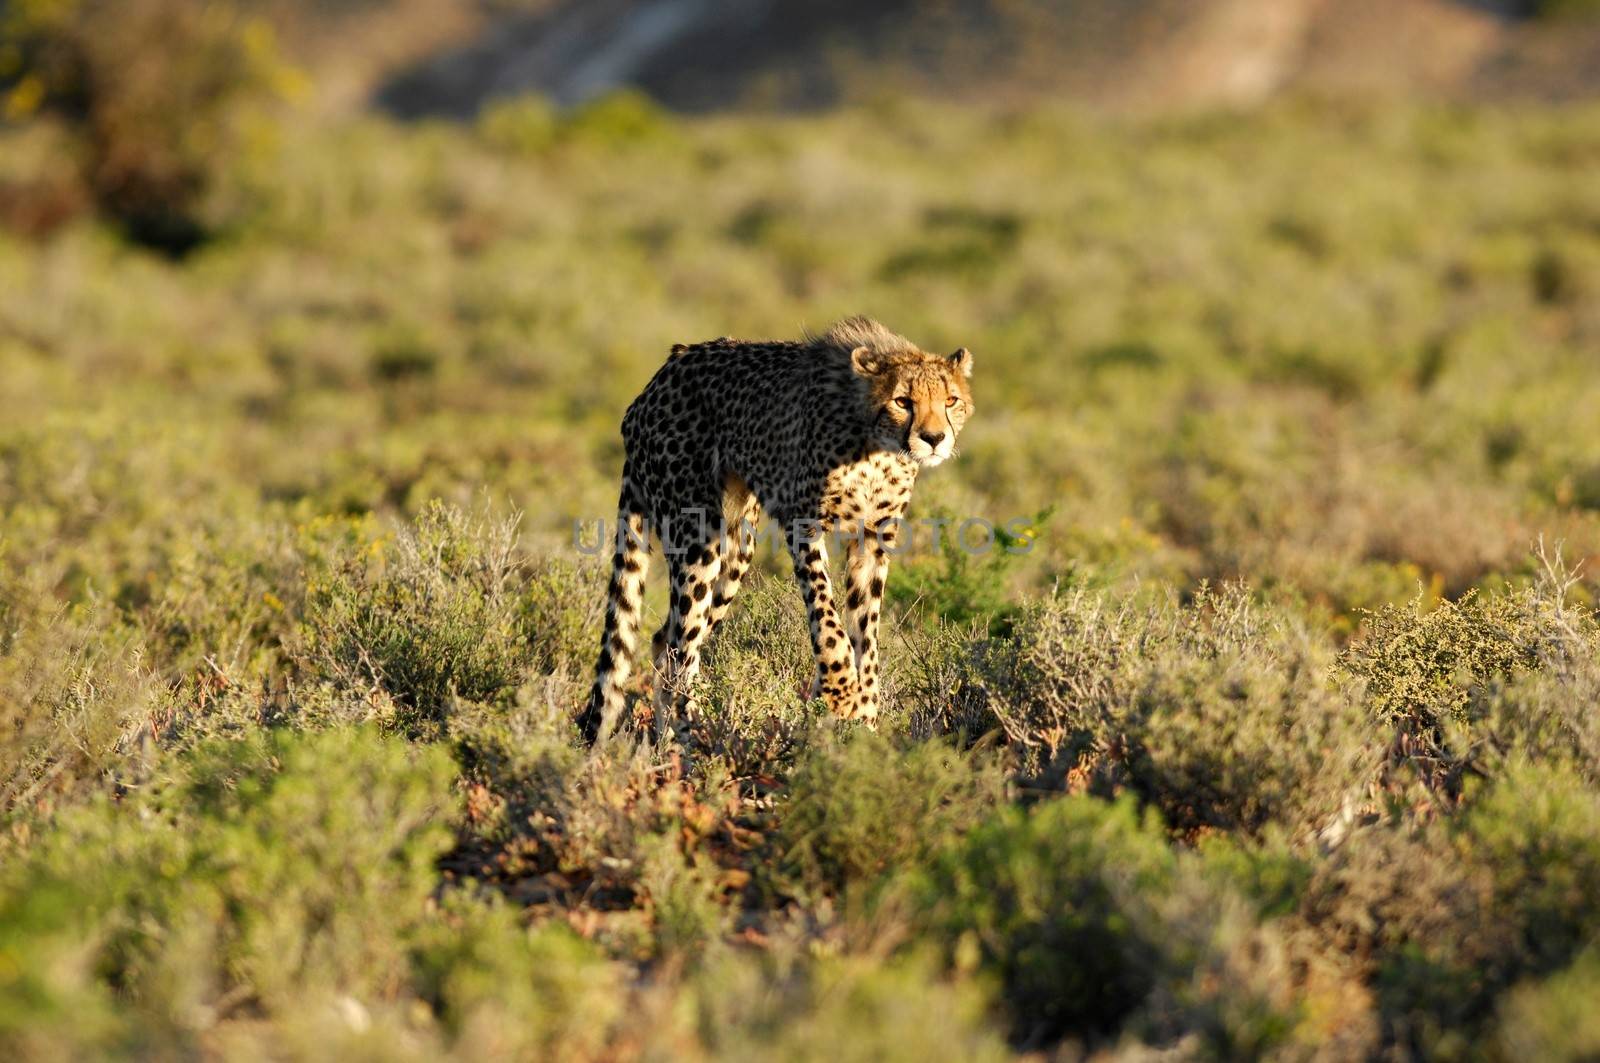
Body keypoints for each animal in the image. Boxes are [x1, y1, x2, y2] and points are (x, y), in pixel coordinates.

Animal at [582, 316, 966, 746]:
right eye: (903, 401)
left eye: (951, 400)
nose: (934, 439)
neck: (877, 445)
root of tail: (658, 378)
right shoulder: (803, 523)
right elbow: (828, 617)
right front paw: (840, 691)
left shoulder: (872, 539)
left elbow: (866, 631)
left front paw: (864, 716)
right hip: (696, 533)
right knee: (681, 647)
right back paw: (690, 735)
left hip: (737, 546)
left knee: (666, 641)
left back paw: (668, 741)